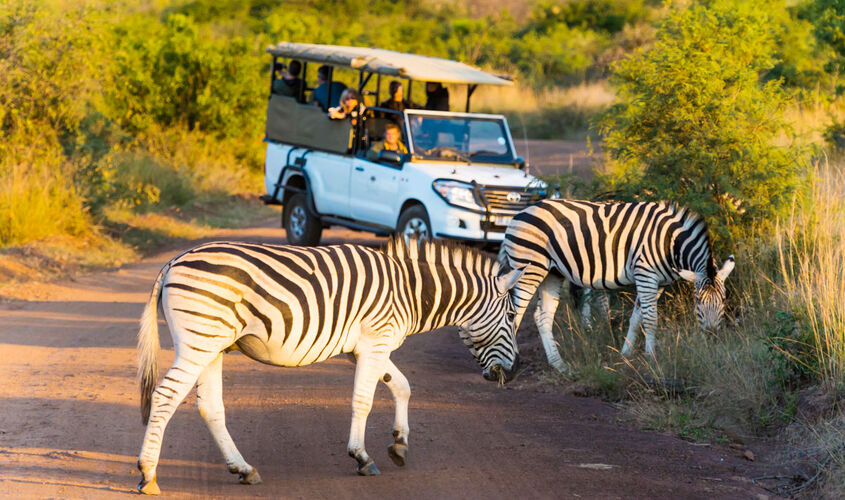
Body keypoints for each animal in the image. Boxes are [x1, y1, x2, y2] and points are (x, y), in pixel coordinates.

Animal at [134, 238, 516, 496]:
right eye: (512, 316)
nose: (511, 374)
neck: (409, 290)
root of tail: (174, 261)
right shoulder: (375, 341)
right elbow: (364, 400)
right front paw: (362, 457)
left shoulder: (365, 349)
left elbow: (402, 386)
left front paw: (399, 443)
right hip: (198, 341)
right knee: (165, 396)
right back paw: (148, 474)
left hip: (213, 346)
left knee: (210, 407)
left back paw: (243, 469)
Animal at [502, 198, 732, 372]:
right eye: (698, 301)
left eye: (724, 300)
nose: (712, 336)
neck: (670, 243)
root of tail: (521, 212)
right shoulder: (646, 274)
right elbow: (651, 319)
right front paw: (651, 359)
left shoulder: (657, 283)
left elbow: (637, 317)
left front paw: (626, 354)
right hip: (529, 268)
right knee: (514, 314)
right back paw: (507, 366)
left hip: (551, 273)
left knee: (542, 317)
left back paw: (559, 365)